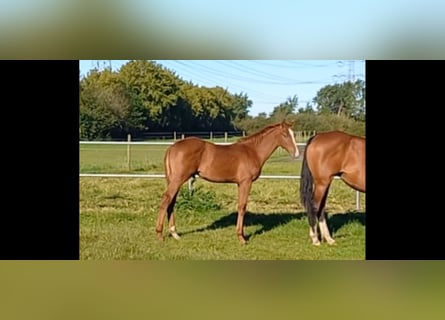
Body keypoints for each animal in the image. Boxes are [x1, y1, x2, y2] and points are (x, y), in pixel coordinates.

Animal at [155, 121, 298, 244]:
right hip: (177, 180)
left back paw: (174, 233)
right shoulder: (245, 182)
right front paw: (241, 237)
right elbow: (242, 206)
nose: (296, 154)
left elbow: (241, 206)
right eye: (285, 134)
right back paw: (159, 235)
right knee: (166, 201)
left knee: (171, 203)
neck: (252, 151)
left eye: (294, 134)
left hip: (173, 181)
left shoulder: (240, 183)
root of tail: (172, 147)